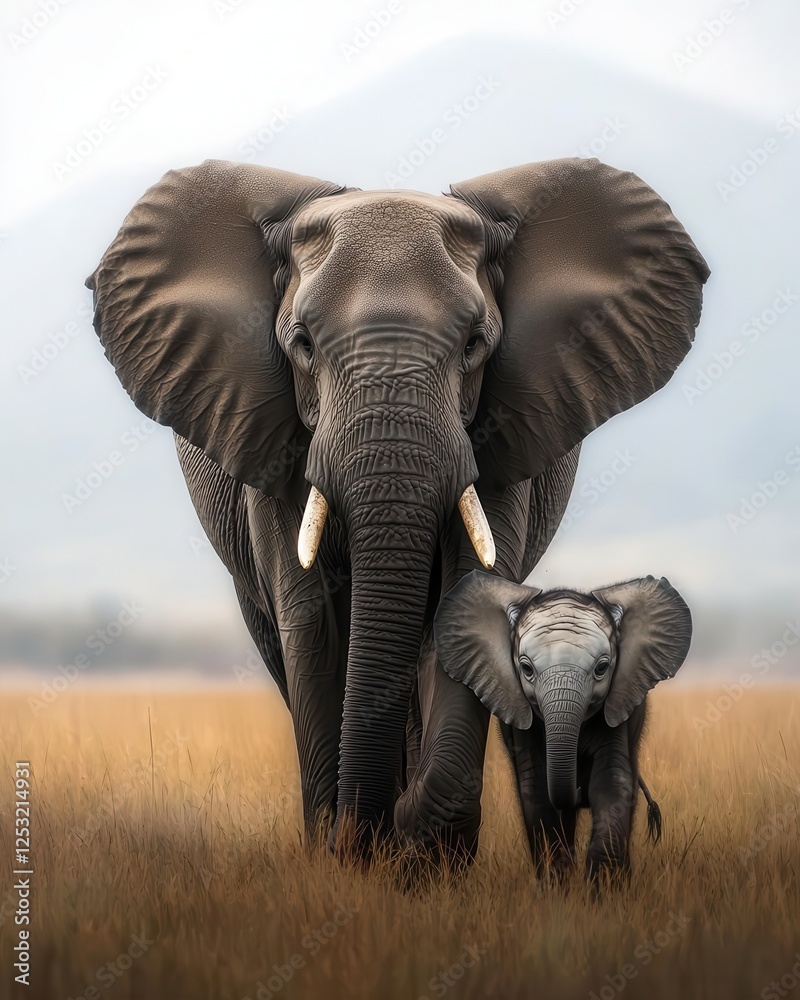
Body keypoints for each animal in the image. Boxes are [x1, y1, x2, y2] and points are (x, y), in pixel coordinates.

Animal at [434, 572, 692, 878]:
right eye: (526, 669)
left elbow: (611, 783)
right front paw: (555, 882)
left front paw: (605, 886)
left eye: (602, 668)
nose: (578, 790)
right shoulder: (523, 726)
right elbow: (536, 792)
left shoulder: (617, 711)